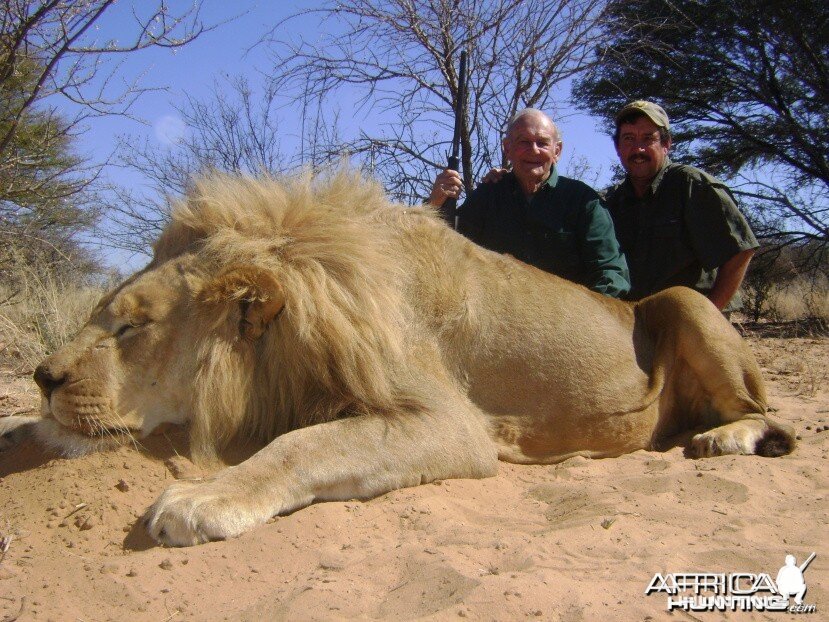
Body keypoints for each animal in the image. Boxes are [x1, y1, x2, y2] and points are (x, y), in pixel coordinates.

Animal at [4, 171, 796, 544]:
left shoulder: (450, 423)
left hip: (684, 301)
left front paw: (201, 498)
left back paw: (724, 436)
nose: (41, 378)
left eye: (130, 327)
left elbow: (304, 445)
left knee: (766, 410)